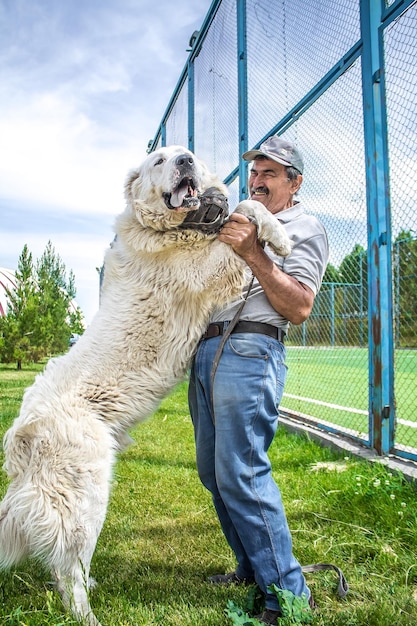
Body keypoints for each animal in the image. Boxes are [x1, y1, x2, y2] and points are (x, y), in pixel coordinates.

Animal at [0, 145, 290, 620]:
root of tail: (21, 430)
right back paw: (87, 615)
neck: (172, 230)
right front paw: (278, 235)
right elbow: (246, 211)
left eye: (187, 154)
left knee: (67, 564)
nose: (185, 160)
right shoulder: (207, 272)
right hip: (87, 493)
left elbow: (244, 209)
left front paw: (271, 227)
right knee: (67, 567)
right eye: (159, 160)